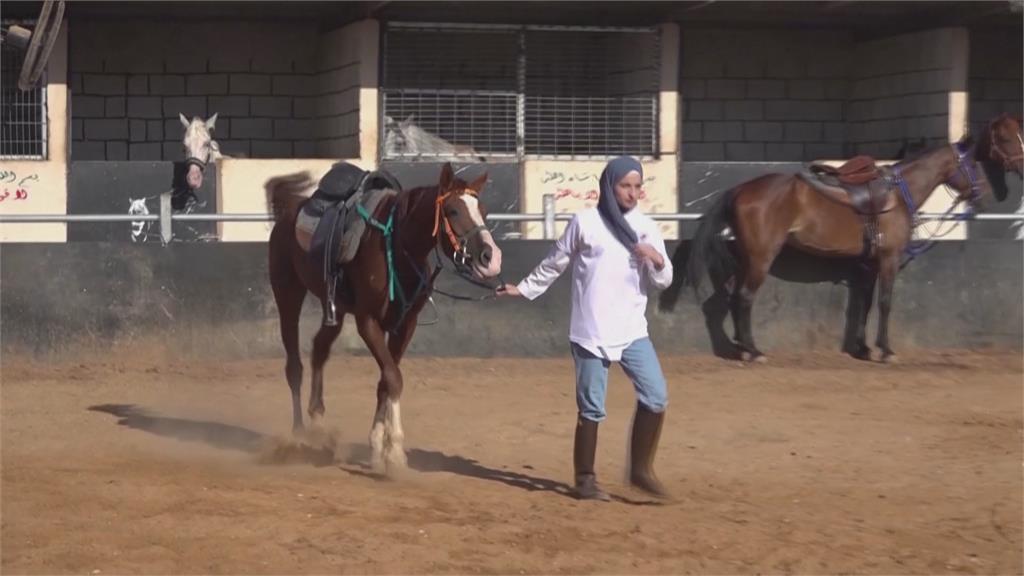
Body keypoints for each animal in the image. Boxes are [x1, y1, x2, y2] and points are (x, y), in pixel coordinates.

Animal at [266, 161, 501, 471]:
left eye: (483, 210)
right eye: (453, 210)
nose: (490, 256)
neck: (398, 248)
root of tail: (291, 209)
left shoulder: (405, 325)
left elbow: (386, 381)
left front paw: (379, 447)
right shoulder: (368, 321)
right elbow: (393, 378)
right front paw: (395, 450)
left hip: (335, 308)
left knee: (319, 349)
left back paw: (318, 426)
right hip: (288, 294)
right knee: (294, 365)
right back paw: (298, 436)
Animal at [663, 133, 991, 362]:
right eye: (973, 163)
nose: (984, 194)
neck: (898, 194)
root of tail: (742, 189)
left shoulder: (868, 264)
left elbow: (864, 303)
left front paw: (862, 348)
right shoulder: (888, 259)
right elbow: (885, 303)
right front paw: (886, 350)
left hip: (747, 258)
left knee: (731, 298)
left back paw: (741, 347)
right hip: (761, 258)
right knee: (744, 298)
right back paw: (754, 351)